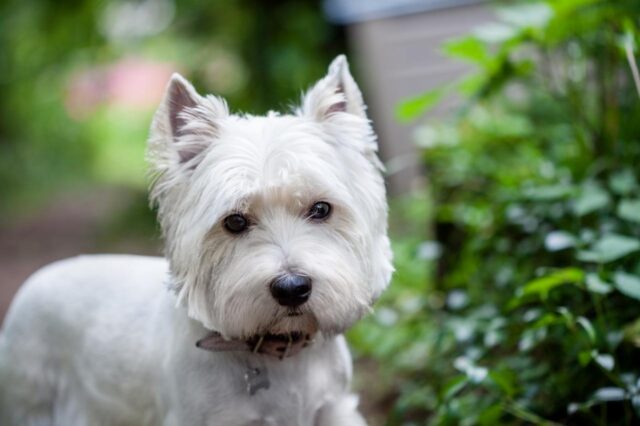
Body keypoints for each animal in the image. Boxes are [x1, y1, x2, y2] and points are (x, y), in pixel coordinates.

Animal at [0, 56, 392, 426]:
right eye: (234, 221)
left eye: (321, 208)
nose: (292, 288)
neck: (279, 351)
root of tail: (37, 277)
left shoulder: (334, 408)